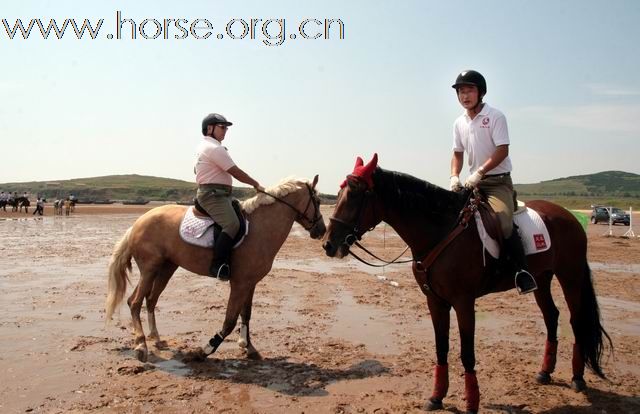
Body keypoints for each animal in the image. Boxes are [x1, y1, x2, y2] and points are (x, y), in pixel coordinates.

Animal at [107, 175, 324, 362]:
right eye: (319, 201)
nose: (321, 230)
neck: (261, 228)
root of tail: (138, 222)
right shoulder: (239, 284)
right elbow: (229, 321)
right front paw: (204, 351)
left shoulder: (250, 283)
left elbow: (246, 314)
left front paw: (249, 347)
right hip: (150, 269)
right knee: (136, 302)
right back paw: (141, 346)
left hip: (165, 269)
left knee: (147, 300)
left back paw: (156, 339)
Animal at [322, 155, 612, 414]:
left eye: (355, 195)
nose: (328, 244)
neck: (440, 230)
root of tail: (569, 216)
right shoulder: (435, 301)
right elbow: (441, 348)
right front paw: (436, 397)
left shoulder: (463, 302)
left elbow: (466, 353)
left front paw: (472, 403)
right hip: (541, 278)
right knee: (552, 316)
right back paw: (544, 372)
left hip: (570, 275)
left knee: (576, 320)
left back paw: (577, 378)